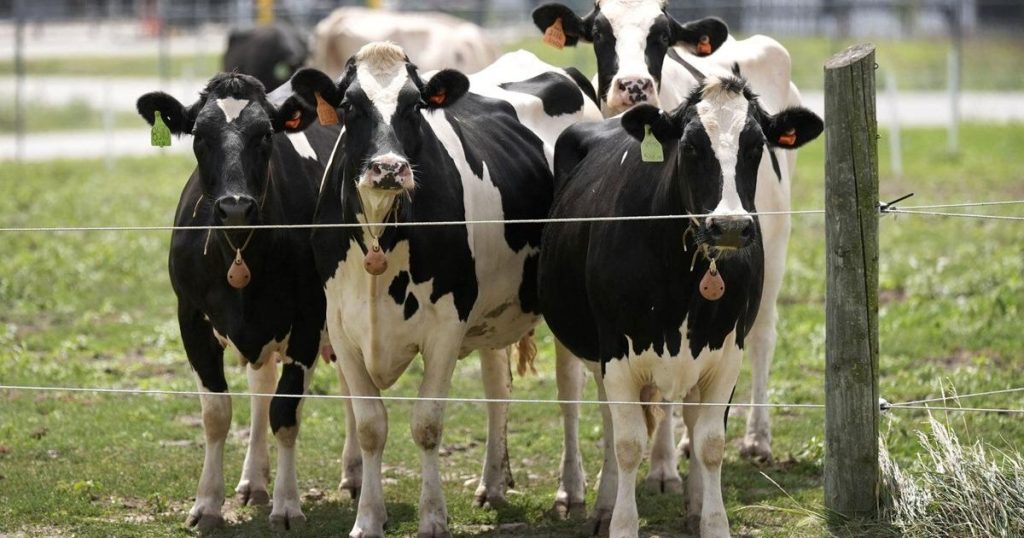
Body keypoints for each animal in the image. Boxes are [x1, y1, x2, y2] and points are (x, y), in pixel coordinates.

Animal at [136, 72, 352, 531]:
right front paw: (207, 504)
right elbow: (218, 414)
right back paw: (253, 481)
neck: (239, 253)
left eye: (265, 134)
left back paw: (354, 474)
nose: (235, 207)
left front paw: (287, 506)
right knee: (261, 389)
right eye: (200, 135)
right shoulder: (191, 319)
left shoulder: (308, 320)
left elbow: (286, 414)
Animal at [282, 41, 600, 537]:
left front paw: (432, 517)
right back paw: (492, 484)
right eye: (350, 105)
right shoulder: (342, 327)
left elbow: (427, 424)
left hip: (560, 300)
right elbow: (371, 426)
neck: (381, 235)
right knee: (497, 388)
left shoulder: (446, 327)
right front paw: (368, 519)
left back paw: (570, 492)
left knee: (569, 391)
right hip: (493, 310)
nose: (388, 167)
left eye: (415, 105)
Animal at [533, 0, 808, 473]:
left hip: (776, 244)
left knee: (763, 337)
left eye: (661, 36)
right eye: (599, 33)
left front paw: (663, 467)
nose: (633, 86)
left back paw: (756, 437)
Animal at [538, 73, 823, 537]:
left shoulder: (726, 353)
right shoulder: (616, 351)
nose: (730, 226)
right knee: (606, 419)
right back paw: (603, 504)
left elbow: (710, 442)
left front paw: (712, 521)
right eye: (689, 146)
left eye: (755, 146)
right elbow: (628, 442)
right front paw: (621, 523)